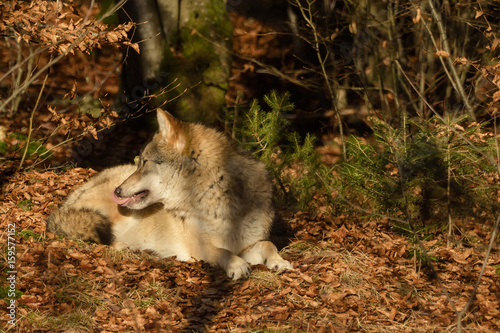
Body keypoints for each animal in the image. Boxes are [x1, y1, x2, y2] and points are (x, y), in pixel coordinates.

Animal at [47, 108, 292, 278]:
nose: (118, 191)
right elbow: (222, 252)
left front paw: (280, 262)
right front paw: (237, 266)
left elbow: (268, 245)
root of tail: (69, 200)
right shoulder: (199, 247)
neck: (215, 197)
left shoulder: (247, 244)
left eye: (145, 162)